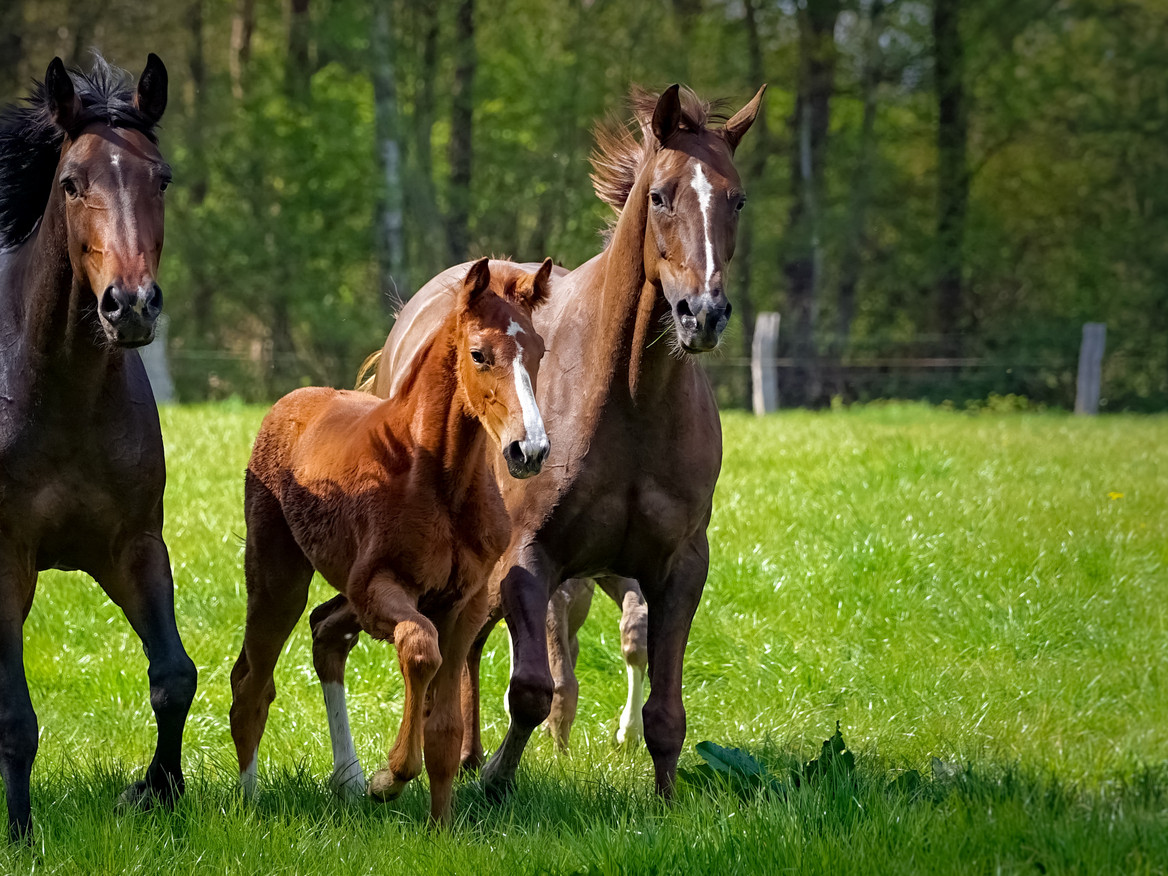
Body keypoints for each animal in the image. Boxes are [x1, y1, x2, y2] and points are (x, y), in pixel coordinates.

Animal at [233, 259, 555, 822]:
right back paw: (251, 802)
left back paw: (346, 779)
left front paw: (440, 827)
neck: (438, 479)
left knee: (321, 637)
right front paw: (390, 777)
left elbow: (446, 728)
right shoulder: (377, 588)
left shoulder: (465, 602)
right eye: (479, 354)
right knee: (253, 681)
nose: (529, 449)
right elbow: (420, 647)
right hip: (277, 580)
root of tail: (291, 401)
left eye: (537, 351)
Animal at [373, 85, 766, 798]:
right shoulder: (531, 561)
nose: (703, 314)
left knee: (469, 646)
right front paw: (495, 782)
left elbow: (665, 709)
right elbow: (533, 688)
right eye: (661, 195)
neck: (630, 404)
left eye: (738, 199)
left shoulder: (679, 568)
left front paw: (665, 799)